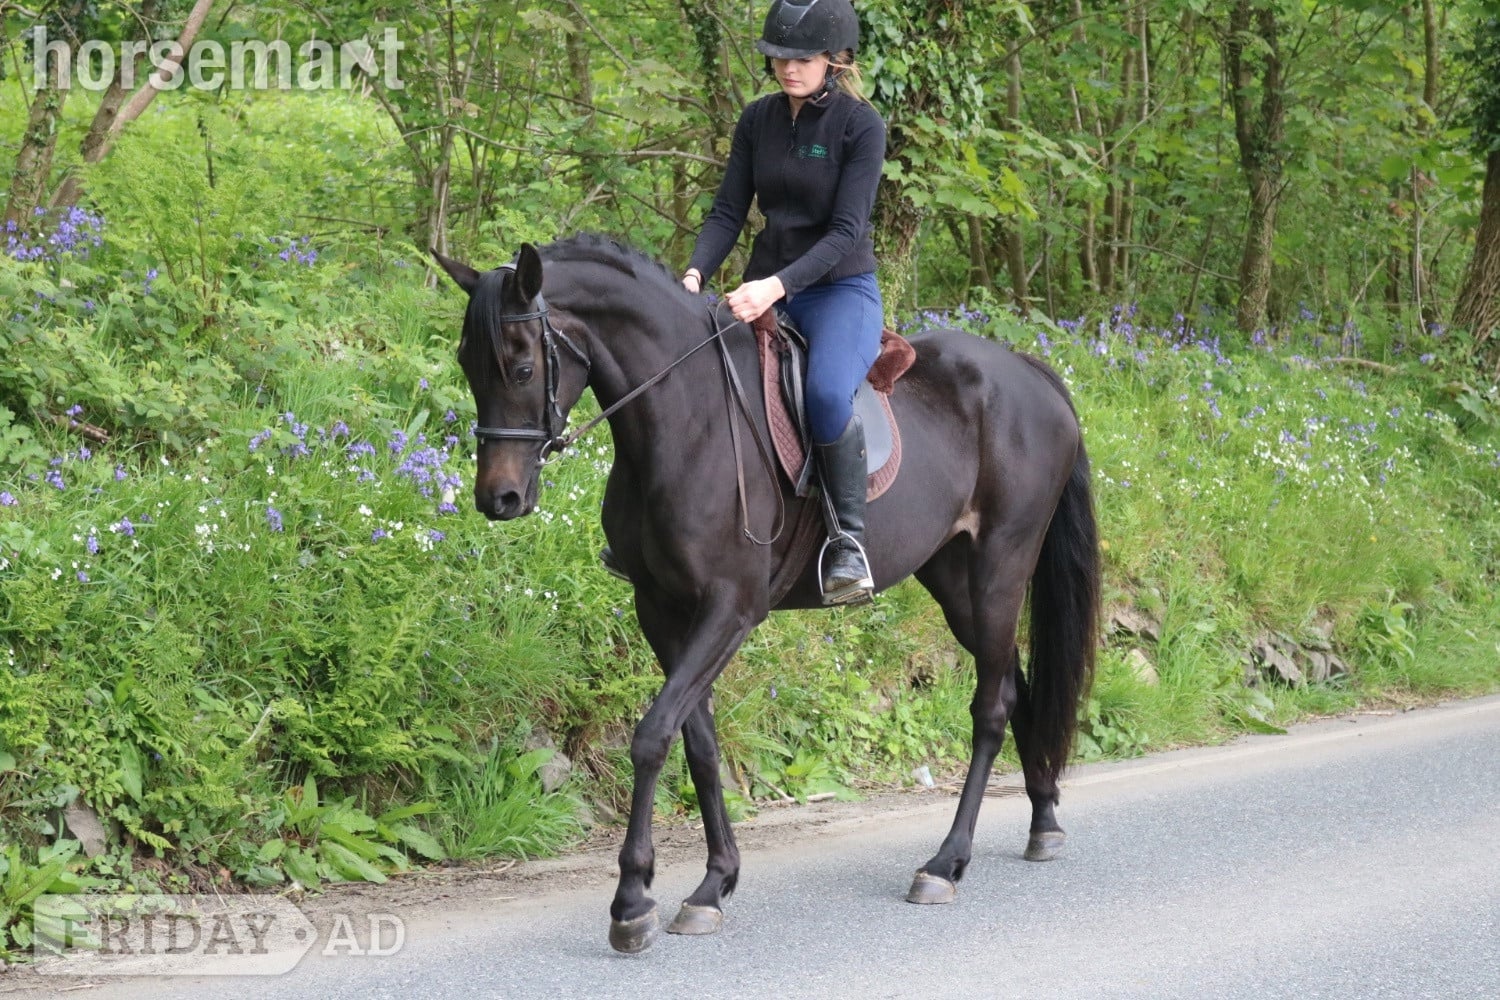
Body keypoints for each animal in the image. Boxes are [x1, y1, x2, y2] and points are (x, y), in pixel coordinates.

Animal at [432, 234, 1100, 954]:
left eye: (522, 366)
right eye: (468, 363)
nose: (499, 498)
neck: (683, 416)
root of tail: (1029, 372)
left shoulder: (732, 608)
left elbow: (652, 735)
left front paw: (633, 899)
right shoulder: (660, 609)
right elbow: (698, 741)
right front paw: (713, 883)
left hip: (1000, 566)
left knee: (992, 705)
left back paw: (945, 863)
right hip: (955, 581)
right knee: (1014, 682)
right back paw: (1043, 820)